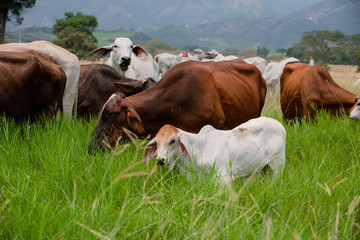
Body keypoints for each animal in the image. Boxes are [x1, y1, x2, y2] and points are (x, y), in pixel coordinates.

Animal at [143, 116, 286, 186]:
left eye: (172, 141)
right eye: (157, 143)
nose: (160, 160)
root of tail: (279, 124)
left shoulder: (224, 178)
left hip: (277, 166)